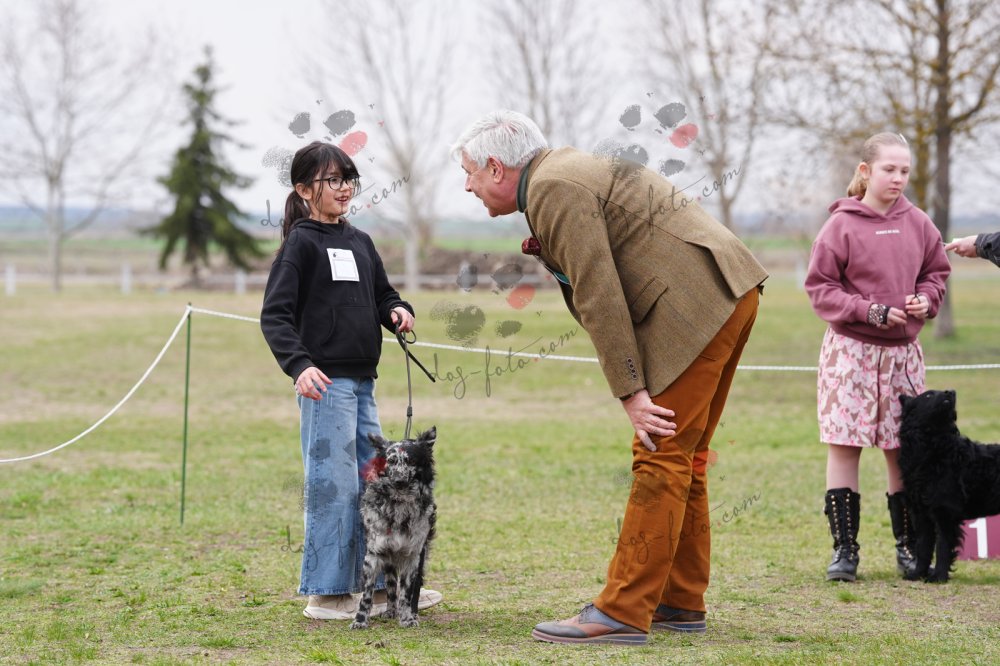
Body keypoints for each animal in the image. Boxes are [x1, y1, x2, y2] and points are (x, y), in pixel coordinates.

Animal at [350, 426, 437, 629]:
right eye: (390, 461)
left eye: (411, 461)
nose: (398, 481)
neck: (399, 503)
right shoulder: (374, 554)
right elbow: (367, 594)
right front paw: (360, 620)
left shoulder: (412, 556)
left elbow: (406, 593)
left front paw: (407, 618)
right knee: (390, 585)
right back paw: (390, 610)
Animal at [899, 390, 1000, 582]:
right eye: (928, 395)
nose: (950, 391)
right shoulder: (921, 514)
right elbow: (923, 548)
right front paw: (917, 574)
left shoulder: (944, 513)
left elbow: (942, 548)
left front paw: (938, 576)